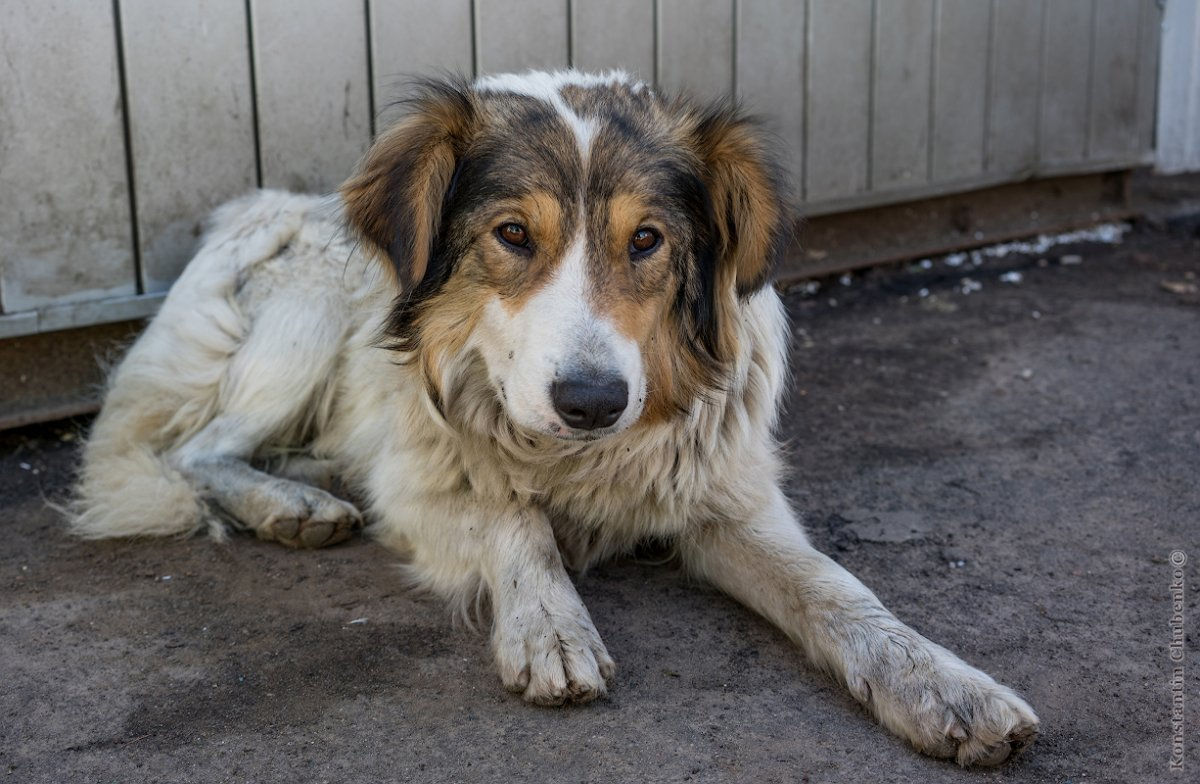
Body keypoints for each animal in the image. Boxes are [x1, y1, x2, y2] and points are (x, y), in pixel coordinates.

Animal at [68, 68, 1041, 763]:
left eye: (646, 241)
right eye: (512, 235)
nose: (592, 402)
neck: (569, 457)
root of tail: (248, 209)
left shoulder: (723, 497)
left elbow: (837, 590)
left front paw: (941, 683)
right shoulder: (428, 485)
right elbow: (514, 521)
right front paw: (550, 624)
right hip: (307, 313)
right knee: (198, 451)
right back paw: (290, 505)